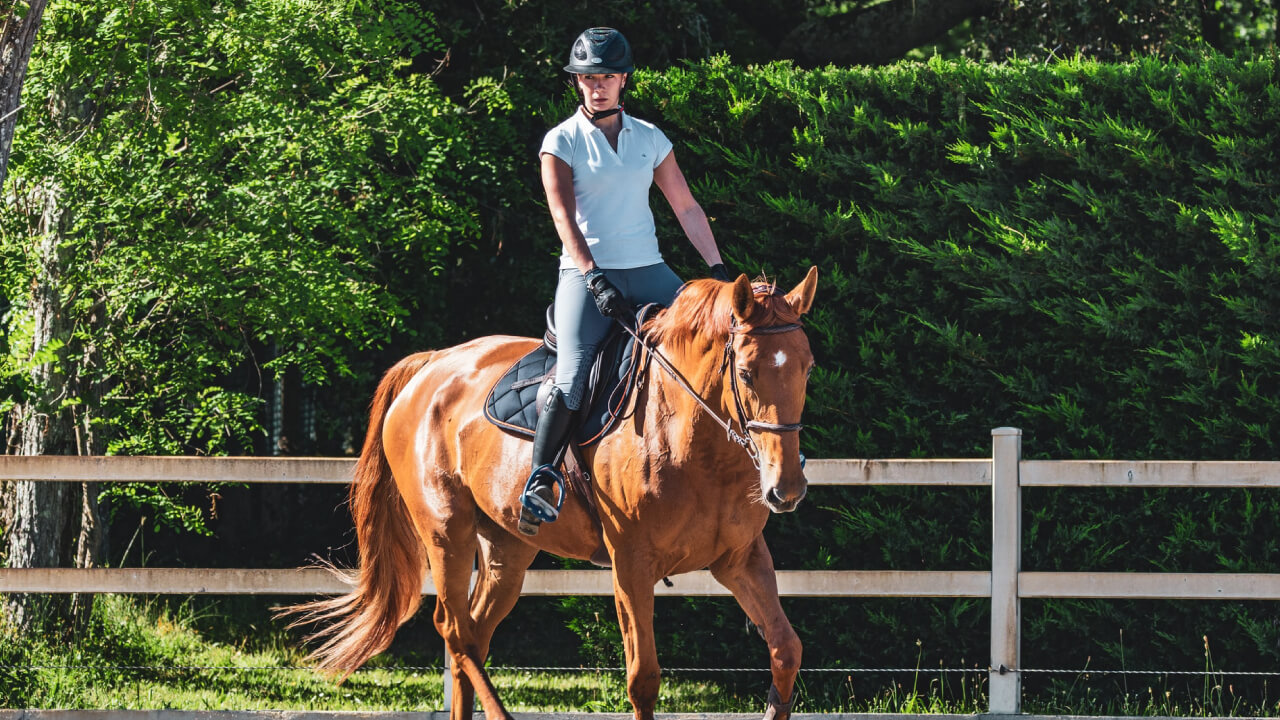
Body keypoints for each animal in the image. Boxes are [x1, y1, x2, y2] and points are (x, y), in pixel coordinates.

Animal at [284, 267, 818, 720]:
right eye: (745, 373)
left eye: (808, 368)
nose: (786, 489)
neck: (692, 440)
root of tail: (430, 365)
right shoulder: (632, 564)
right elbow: (643, 678)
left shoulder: (740, 559)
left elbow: (786, 651)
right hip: (446, 531)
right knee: (455, 630)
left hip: (507, 547)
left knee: (474, 633)